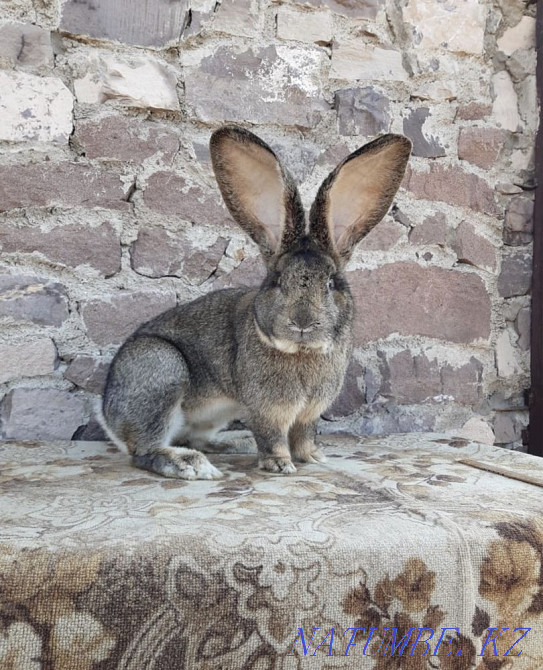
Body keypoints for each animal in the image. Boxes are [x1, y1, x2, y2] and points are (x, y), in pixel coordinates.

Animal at [99, 125, 411, 479]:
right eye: (277, 280)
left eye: (332, 283)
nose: (302, 322)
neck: (301, 351)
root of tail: (106, 413)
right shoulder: (267, 409)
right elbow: (272, 435)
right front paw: (280, 464)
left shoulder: (309, 413)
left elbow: (304, 435)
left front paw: (313, 457)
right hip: (160, 368)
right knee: (144, 449)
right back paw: (189, 464)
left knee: (197, 438)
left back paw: (236, 443)